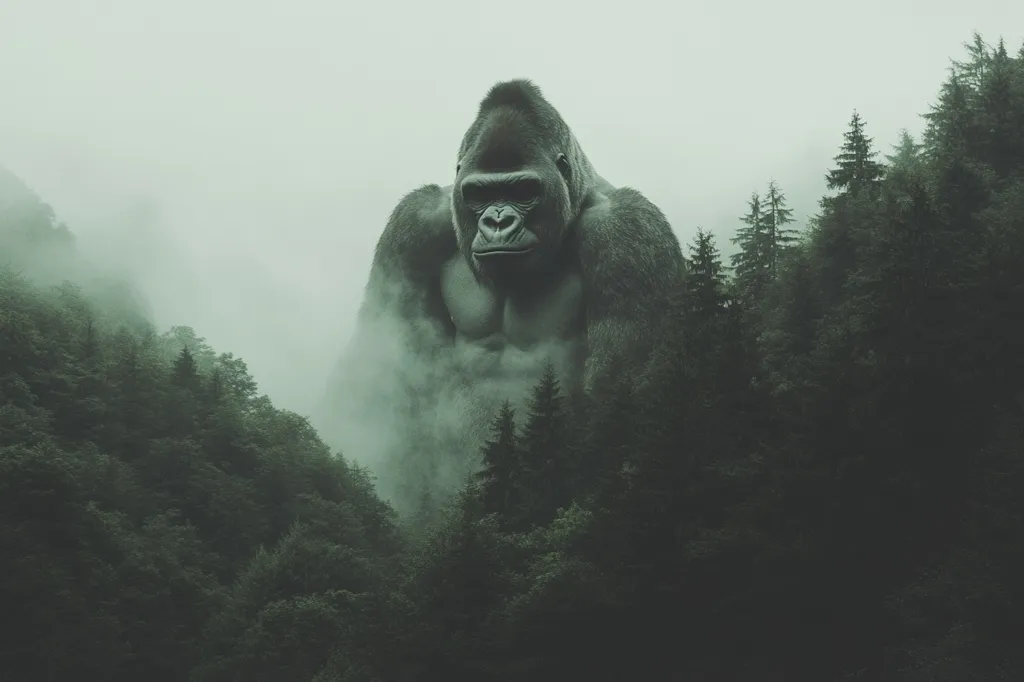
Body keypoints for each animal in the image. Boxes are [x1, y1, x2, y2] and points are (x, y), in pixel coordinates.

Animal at [318, 79, 684, 509]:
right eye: (479, 194)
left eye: (524, 190)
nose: (497, 222)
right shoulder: (413, 224)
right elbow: (383, 364)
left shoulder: (628, 230)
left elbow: (623, 389)